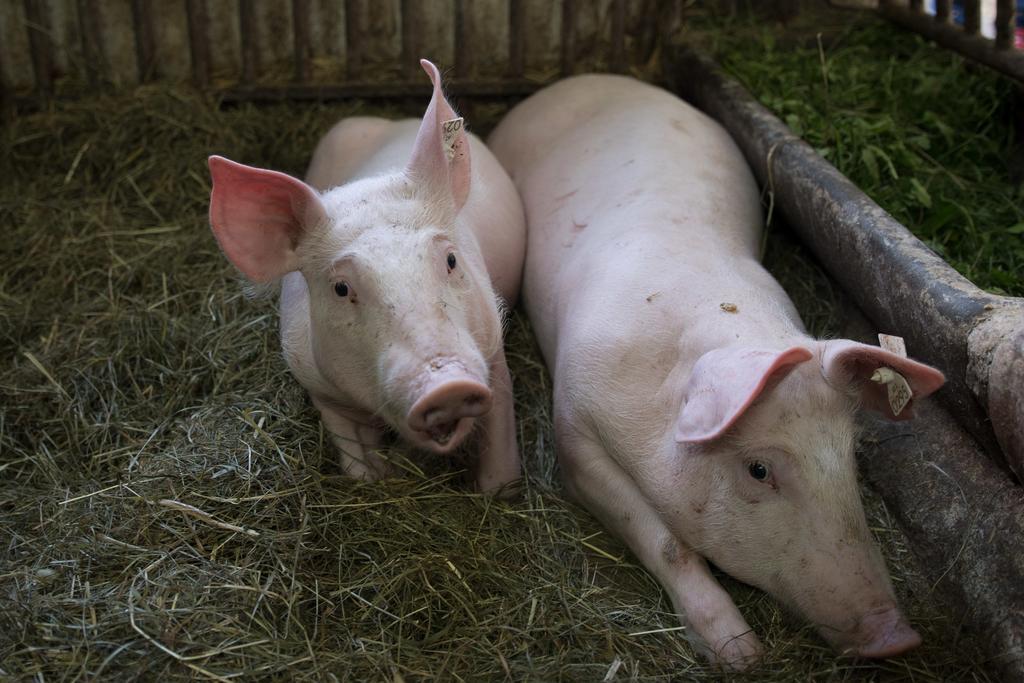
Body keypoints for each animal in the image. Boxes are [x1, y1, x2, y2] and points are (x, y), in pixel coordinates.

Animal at [207, 60, 528, 491]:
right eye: (341, 288)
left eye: (450, 260)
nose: (446, 386)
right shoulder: (320, 388)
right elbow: (357, 465)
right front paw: (378, 479)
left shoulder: (493, 349)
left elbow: (500, 460)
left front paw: (501, 491)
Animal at [487, 73, 942, 667]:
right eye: (759, 470)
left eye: (849, 458)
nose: (897, 636)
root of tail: (586, 79)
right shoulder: (573, 428)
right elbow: (666, 541)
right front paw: (742, 655)